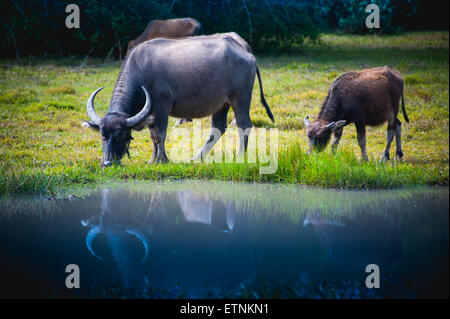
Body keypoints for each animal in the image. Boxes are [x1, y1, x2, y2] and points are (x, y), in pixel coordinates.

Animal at [84, 32, 274, 168]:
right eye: (103, 136)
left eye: (120, 135)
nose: (107, 163)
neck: (141, 73)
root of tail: (247, 52)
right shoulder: (151, 112)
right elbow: (153, 135)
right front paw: (152, 160)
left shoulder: (162, 106)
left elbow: (160, 134)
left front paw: (162, 160)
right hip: (222, 104)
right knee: (218, 128)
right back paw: (196, 158)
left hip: (240, 99)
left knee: (244, 125)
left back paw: (240, 157)